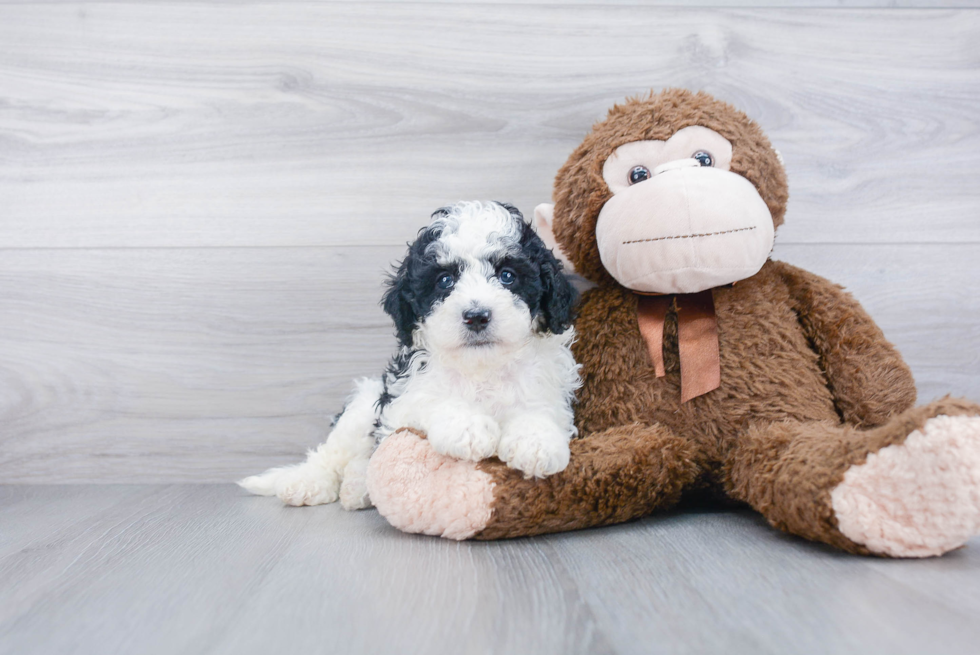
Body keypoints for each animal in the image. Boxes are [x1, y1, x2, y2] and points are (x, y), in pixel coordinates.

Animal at [240, 202, 580, 510]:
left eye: (508, 275)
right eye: (445, 280)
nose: (476, 316)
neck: (481, 367)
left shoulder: (546, 387)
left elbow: (540, 410)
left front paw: (537, 442)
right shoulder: (401, 403)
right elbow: (432, 401)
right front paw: (467, 428)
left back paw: (357, 487)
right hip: (362, 407)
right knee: (332, 453)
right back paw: (308, 483)